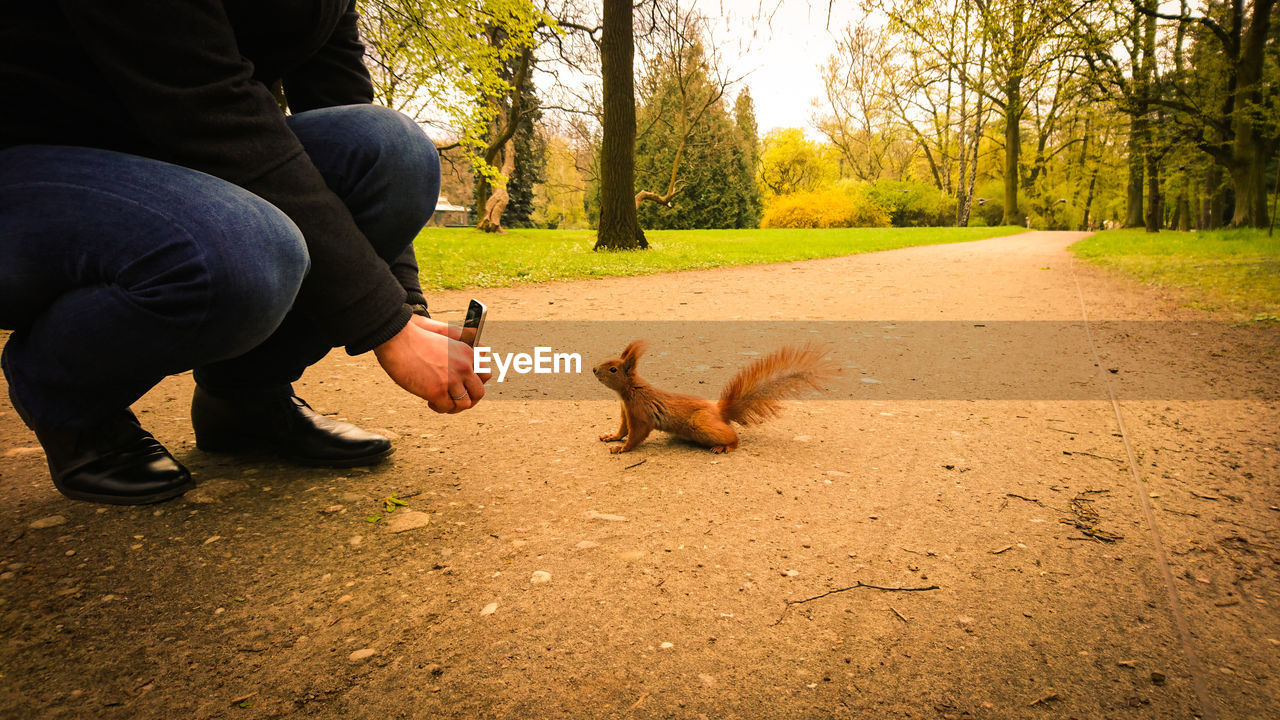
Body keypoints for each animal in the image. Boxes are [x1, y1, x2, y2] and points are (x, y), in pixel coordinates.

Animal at [586, 338, 829, 450]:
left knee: (733, 436)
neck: (629, 390)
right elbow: (623, 429)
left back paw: (725, 446)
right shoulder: (626, 412)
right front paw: (612, 437)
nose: (594, 369)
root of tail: (719, 413)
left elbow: (637, 434)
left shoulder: (641, 413)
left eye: (613, 369)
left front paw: (621, 448)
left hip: (700, 424)